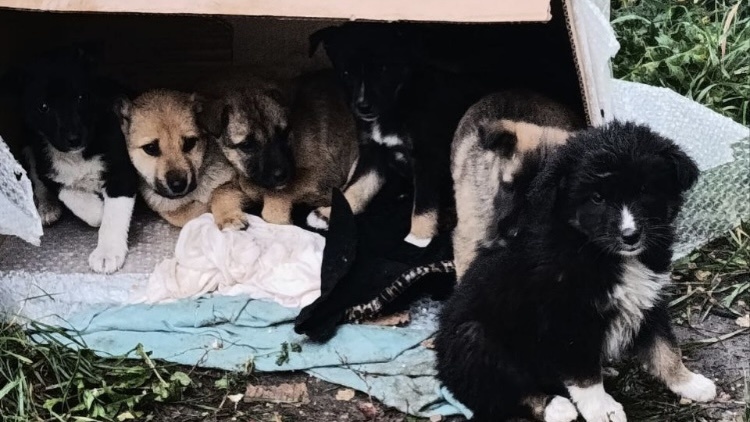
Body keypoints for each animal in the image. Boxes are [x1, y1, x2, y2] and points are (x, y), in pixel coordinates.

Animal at [16, 47, 137, 273]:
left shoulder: (121, 170)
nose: (74, 139)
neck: (76, 156)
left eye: (81, 97)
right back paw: (47, 207)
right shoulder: (49, 170)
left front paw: (107, 252)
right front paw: (97, 210)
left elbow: (114, 214)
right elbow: (70, 193)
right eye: (43, 107)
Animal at [116, 89, 247, 230]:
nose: (178, 185)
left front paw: (229, 217)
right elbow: (189, 213)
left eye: (189, 143)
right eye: (150, 148)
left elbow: (221, 191)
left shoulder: (231, 180)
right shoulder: (167, 209)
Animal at [200, 71, 359, 225]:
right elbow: (219, 192)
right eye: (246, 145)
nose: (282, 175)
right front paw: (229, 218)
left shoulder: (324, 174)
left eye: (284, 133)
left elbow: (279, 194)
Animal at [435, 121, 714, 422]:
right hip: (474, 339)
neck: (594, 250)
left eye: (644, 190)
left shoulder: (649, 299)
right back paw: (555, 407)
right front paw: (602, 410)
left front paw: (689, 382)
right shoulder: (568, 319)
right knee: (502, 392)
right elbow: (584, 376)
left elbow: (666, 347)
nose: (630, 236)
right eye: (597, 198)